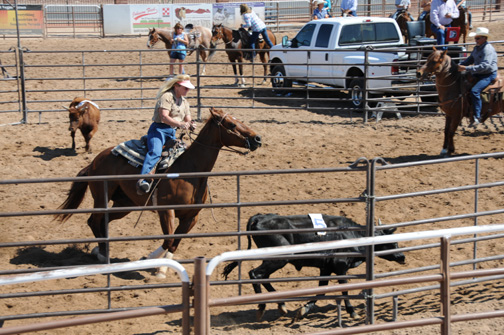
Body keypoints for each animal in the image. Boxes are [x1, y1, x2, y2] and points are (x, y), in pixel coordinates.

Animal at [55, 108, 264, 278]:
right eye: (231, 124)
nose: (257, 139)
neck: (190, 171)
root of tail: (95, 161)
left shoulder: (192, 217)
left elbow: (175, 242)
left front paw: (161, 266)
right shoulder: (166, 211)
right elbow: (169, 238)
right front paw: (153, 261)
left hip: (125, 204)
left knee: (103, 222)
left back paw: (100, 251)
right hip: (101, 197)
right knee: (94, 220)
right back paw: (101, 254)